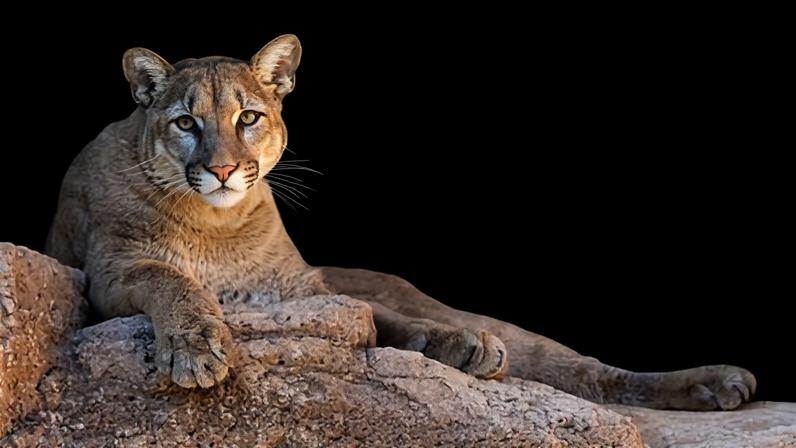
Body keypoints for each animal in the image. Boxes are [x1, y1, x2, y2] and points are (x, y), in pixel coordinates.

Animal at [46, 34, 755, 410]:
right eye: (186, 122)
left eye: (248, 117)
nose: (221, 170)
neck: (219, 225)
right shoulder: (110, 274)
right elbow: (174, 283)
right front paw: (196, 349)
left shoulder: (307, 290)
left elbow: (379, 318)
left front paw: (453, 344)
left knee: (586, 370)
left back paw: (719, 382)